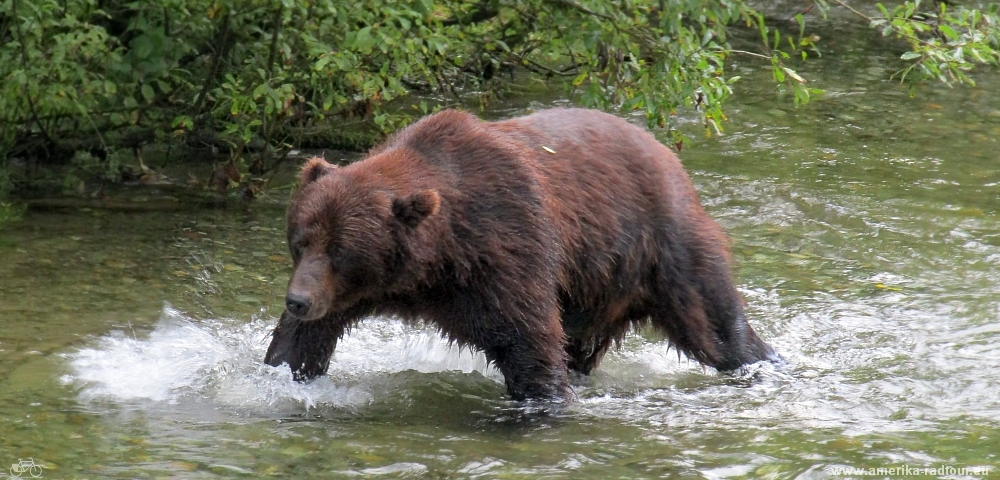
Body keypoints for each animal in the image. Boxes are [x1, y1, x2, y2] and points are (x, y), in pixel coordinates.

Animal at [264, 108, 772, 402]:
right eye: (301, 239)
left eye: (341, 250)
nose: (298, 300)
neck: (433, 264)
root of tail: (669, 156)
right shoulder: (353, 292)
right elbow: (303, 342)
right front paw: (282, 371)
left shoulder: (506, 245)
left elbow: (526, 338)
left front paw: (539, 403)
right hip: (595, 288)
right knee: (580, 344)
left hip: (661, 246)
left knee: (716, 324)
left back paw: (761, 362)